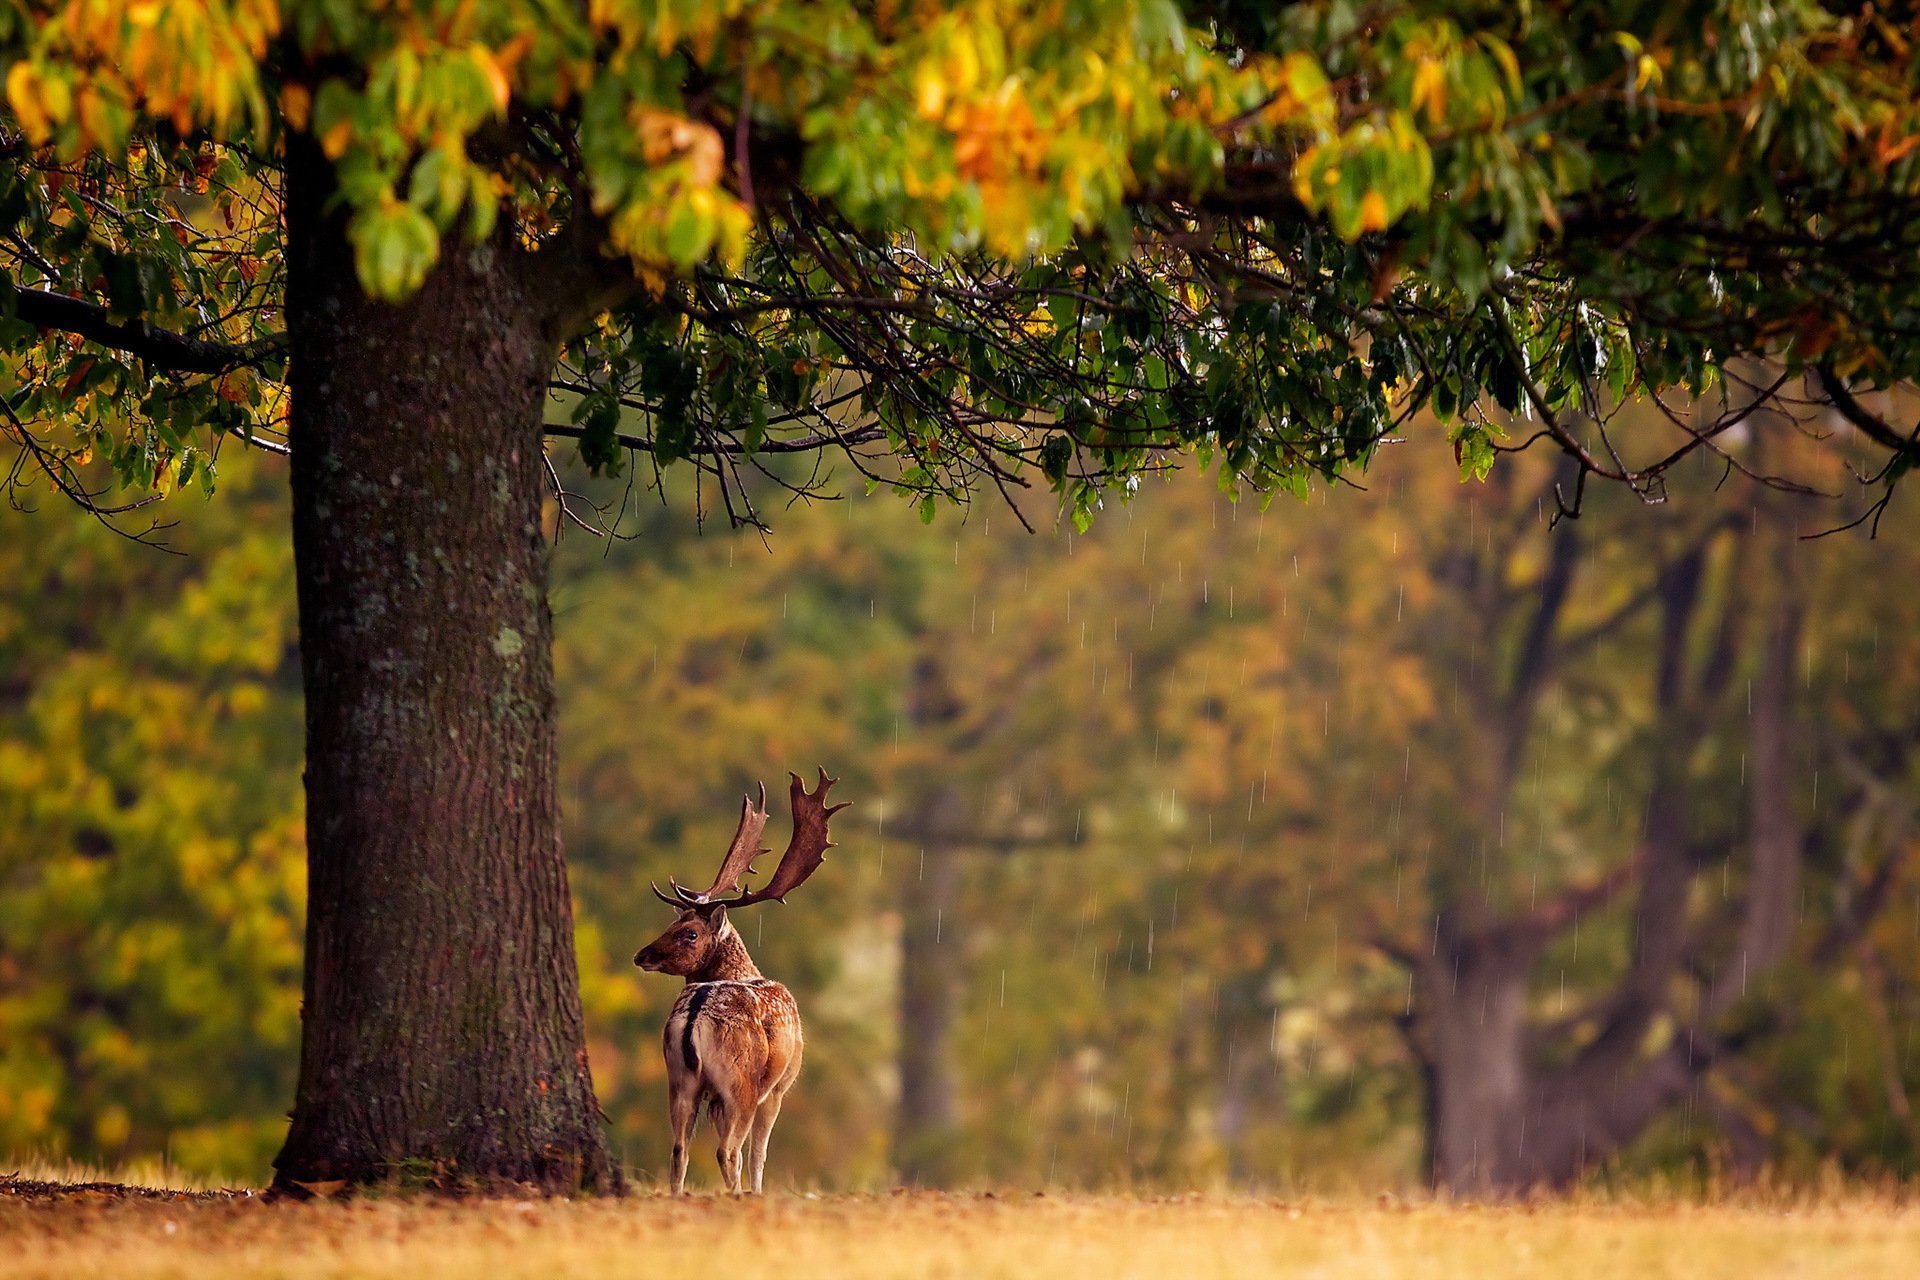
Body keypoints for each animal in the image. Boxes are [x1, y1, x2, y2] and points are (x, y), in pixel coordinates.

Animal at [633, 767, 844, 1197]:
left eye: (688, 932)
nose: (640, 956)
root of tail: (694, 1018)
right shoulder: (779, 1086)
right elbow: (759, 1153)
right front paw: (758, 1190)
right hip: (739, 1084)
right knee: (728, 1150)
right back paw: (735, 1195)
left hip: (679, 1079)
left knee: (679, 1148)